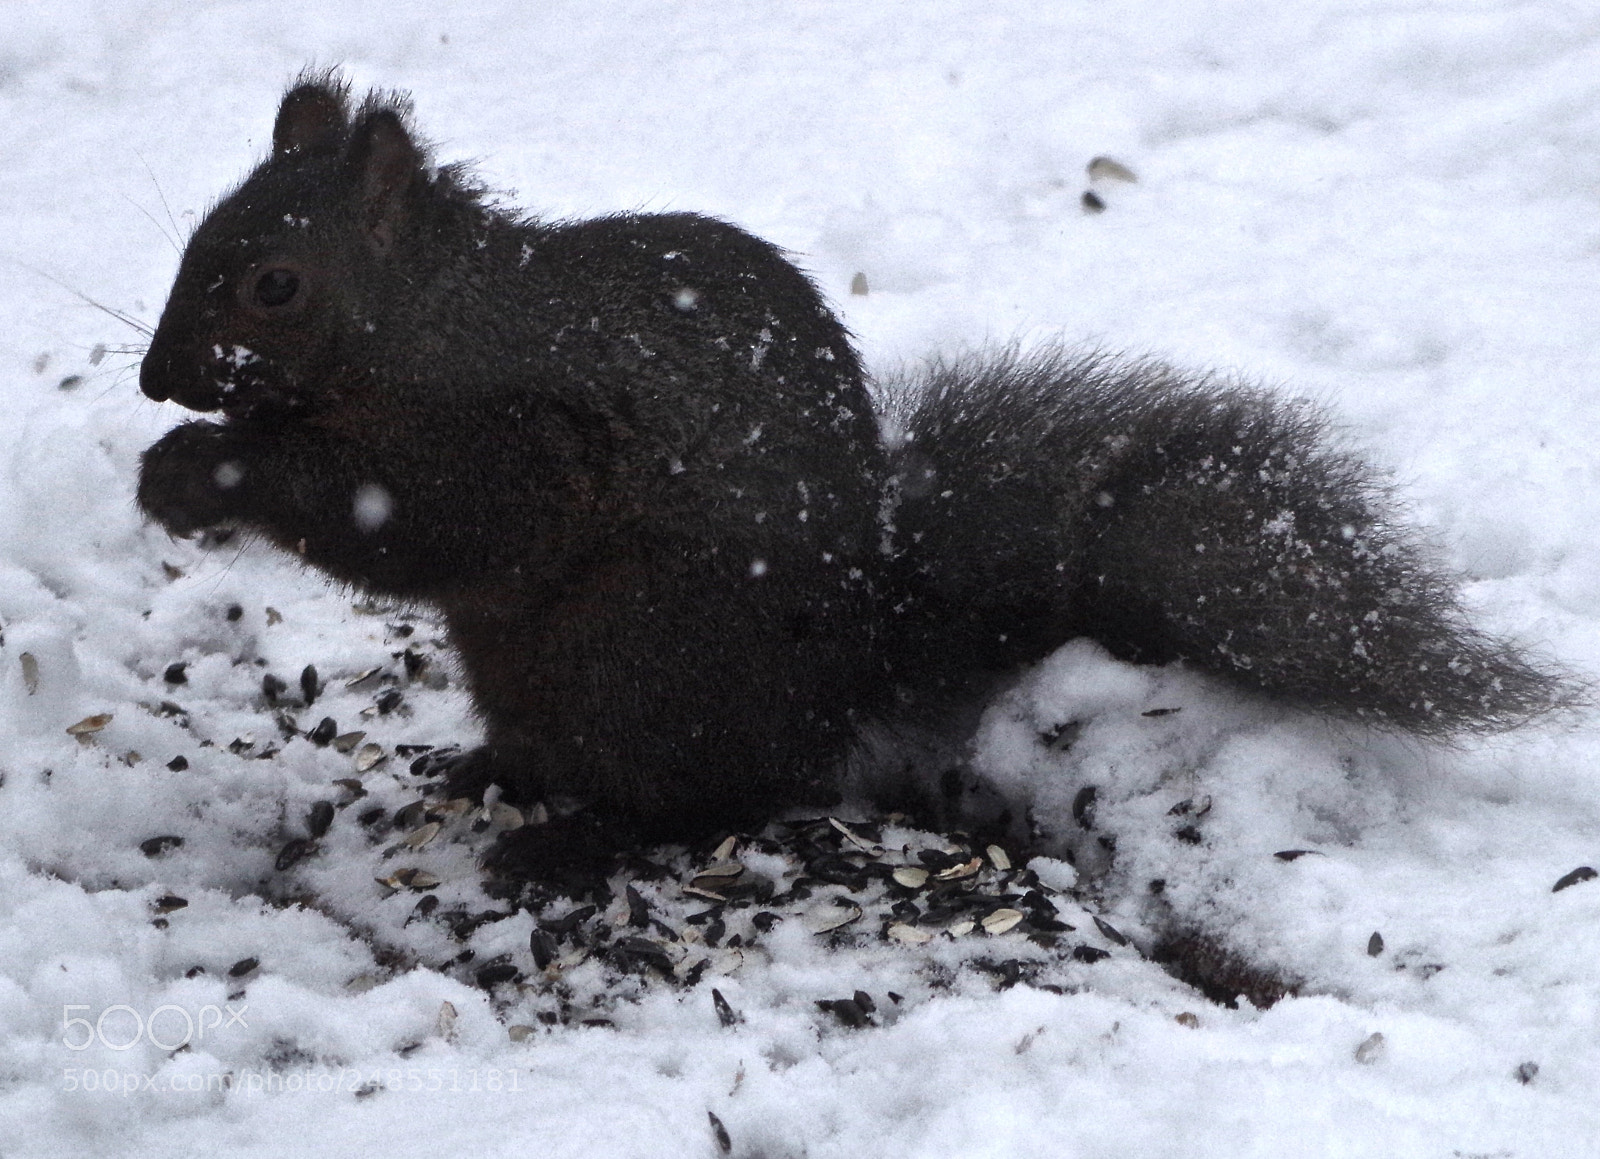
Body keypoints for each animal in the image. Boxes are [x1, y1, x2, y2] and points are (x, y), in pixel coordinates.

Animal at [136, 74, 1573, 877]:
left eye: (274, 284)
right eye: (194, 234)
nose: (157, 380)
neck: (426, 325)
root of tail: (840, 682)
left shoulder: (512, 441)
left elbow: (415, 520)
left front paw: (205, 472)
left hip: (637, 660)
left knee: (705, 796)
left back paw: (574, 837)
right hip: (541, 668)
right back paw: (493, 773)